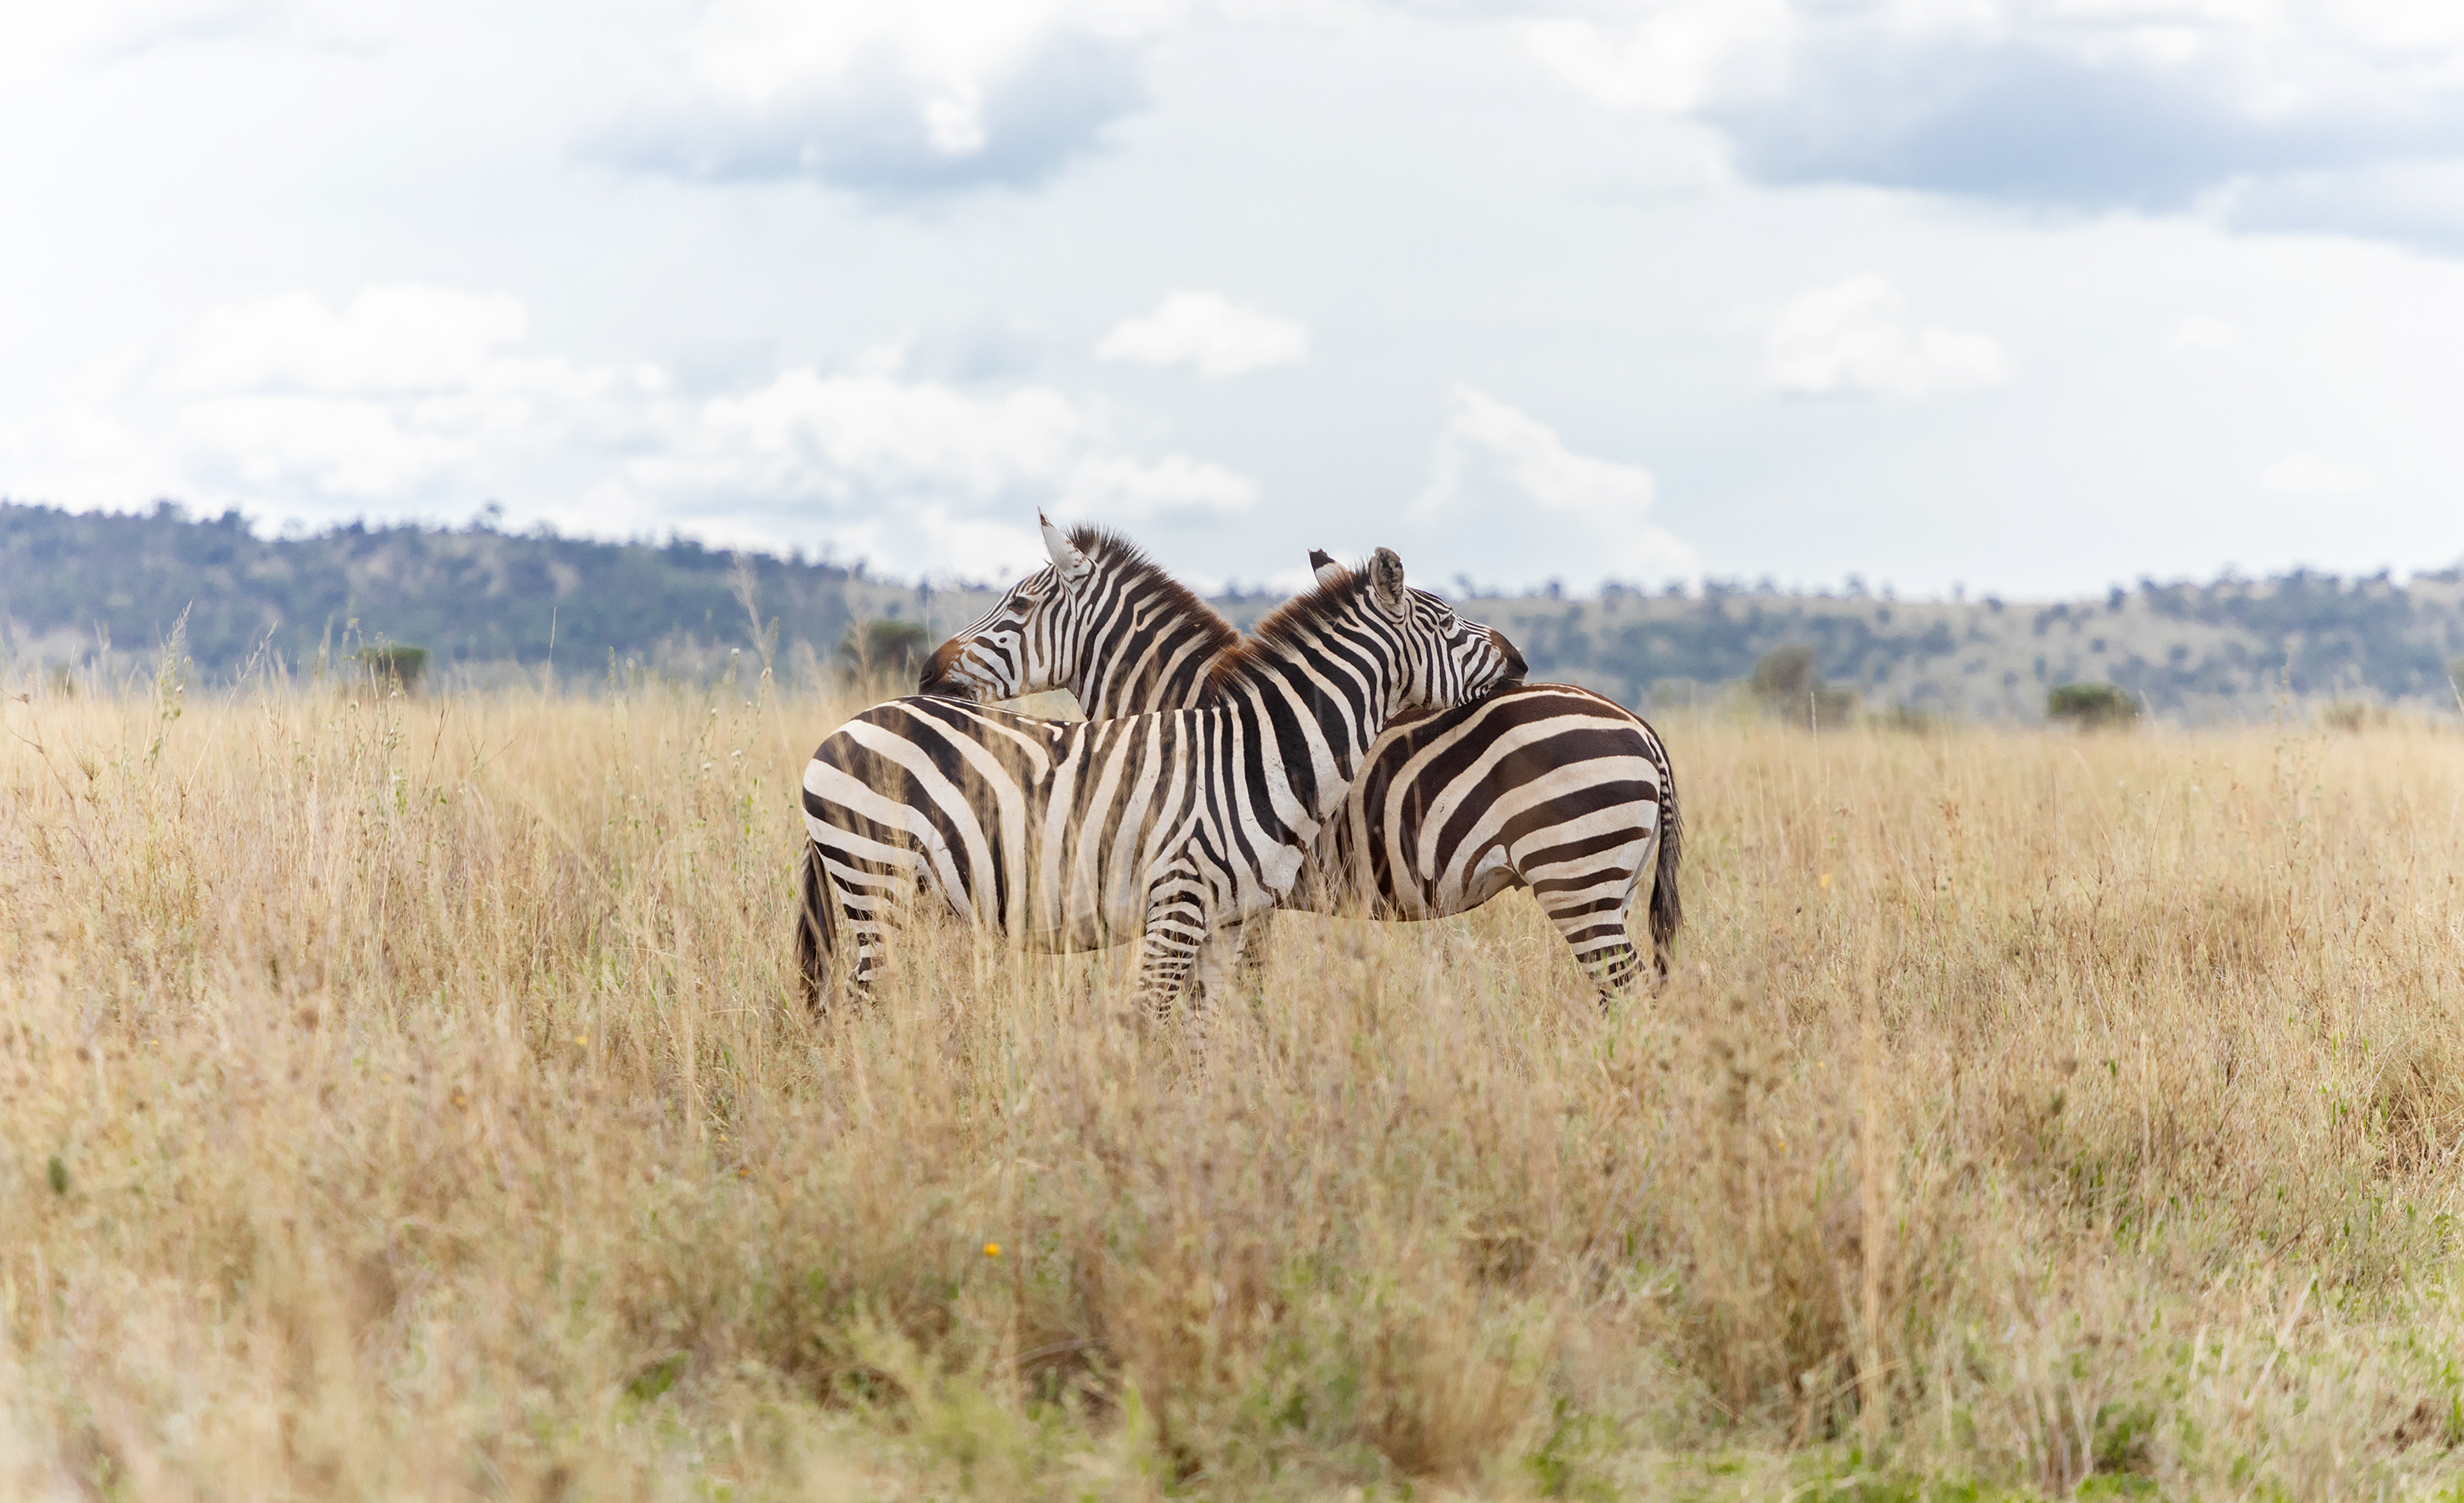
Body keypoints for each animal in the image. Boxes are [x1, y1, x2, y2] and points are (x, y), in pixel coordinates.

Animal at [797, 545, 1524, 1019]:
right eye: (1451, 623)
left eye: (1021, 603)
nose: (928, 670)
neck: (1257, 742)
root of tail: (839, 730)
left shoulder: (1239, 908)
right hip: (880, 881)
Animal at [916, 522, 1682, 994]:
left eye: (1016, 608)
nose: (927, 670)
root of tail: (1639, 725)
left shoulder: (1235, 892)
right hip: (1603, 883)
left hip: (1577, 875)